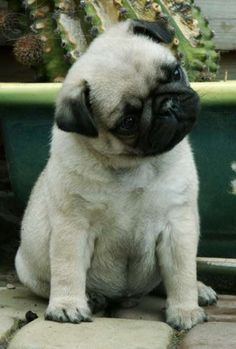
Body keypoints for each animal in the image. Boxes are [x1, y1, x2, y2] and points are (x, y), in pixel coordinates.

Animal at [15, 19, 218, 328]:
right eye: (128, 122)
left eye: (175, 72)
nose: (168, 106)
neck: (133, 165)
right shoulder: (72, 228)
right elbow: (68, 269)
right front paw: (67, 305)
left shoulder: (178, 227)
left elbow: (181, 273)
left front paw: (185, 309)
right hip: (28, 269)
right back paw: (92, 298)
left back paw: (199, 290)